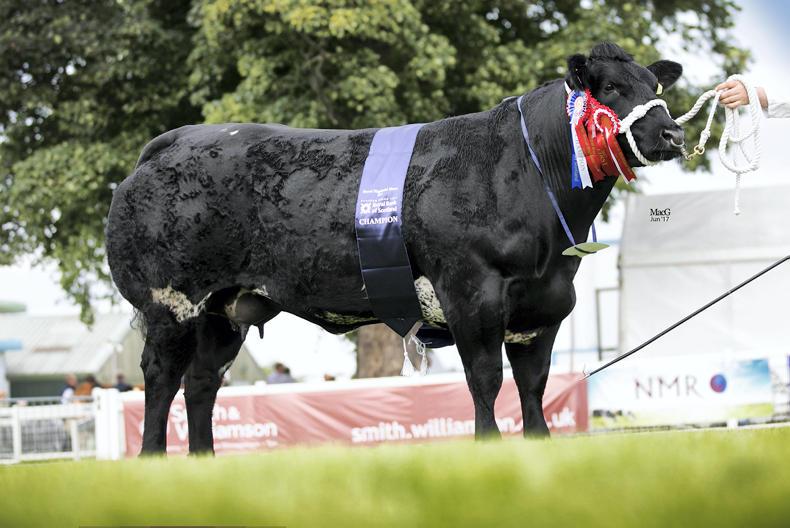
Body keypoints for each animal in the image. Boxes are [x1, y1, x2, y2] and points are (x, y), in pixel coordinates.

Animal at [106, 42, 684, 455]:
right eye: (610, 88)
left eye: (655, 85)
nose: (672, 135)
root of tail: (173, 142)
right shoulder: (470, 293)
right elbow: (485, 378)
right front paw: (488, 447)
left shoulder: (543, 306)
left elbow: (533, 386)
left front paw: (537, 446)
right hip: (171, 301)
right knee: (160, 378)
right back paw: (153, 460)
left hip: (225, 308)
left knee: (202, 382)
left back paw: (204, 464)